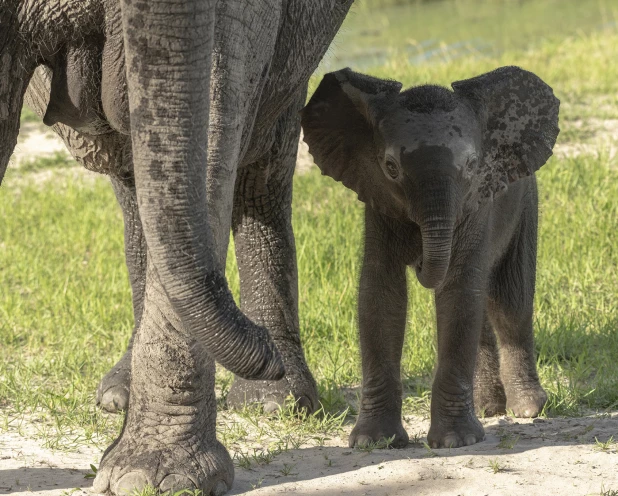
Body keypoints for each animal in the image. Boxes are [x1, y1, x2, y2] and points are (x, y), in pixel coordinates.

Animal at [1, 0, 352, 492]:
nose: (265, 355)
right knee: (134, 180)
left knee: (262, 170)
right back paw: (118, 397)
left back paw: (273, 403)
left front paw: (150, 478)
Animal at [300, 67, 560, 450]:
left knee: (509, 302)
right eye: (390, 167)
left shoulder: (477, 204)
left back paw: (526, 409)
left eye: (472, 166)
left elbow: (458, 291)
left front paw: (455, 442)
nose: (421, 259)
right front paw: (374, 442)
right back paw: (487, 407)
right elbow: (380, 294)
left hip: (527, 200)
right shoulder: (378, 202)